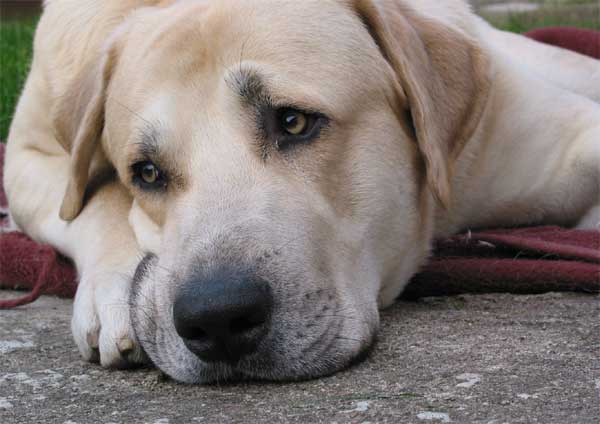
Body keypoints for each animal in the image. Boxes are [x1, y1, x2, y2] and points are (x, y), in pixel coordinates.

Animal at [4, 0, 600, 382]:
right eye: (146, 173)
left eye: (293, 122)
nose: (217, 319)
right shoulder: (30, 156)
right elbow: (93, 202)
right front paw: (115, 292)